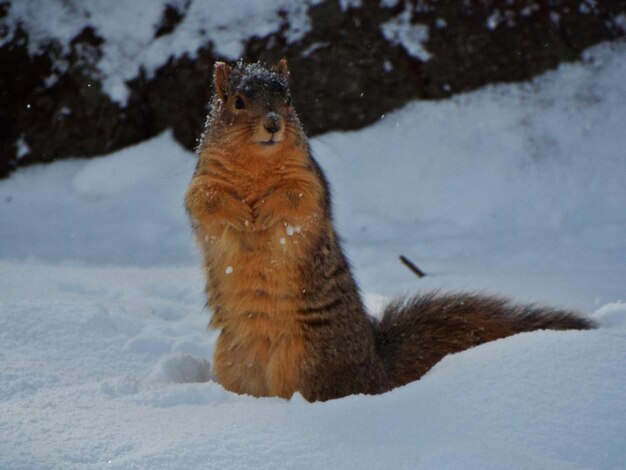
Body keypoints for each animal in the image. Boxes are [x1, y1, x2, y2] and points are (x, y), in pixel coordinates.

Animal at [183, 58, 592, 402]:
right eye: (237, 102)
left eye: (287, 98)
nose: (272, 123)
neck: (257, 165)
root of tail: (374, 371)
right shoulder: (203, 182)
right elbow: (204, 203)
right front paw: (240, 215)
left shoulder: (309, 180)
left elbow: (297, 199)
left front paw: (266, 214)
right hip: (235, 363)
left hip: (306, 362)